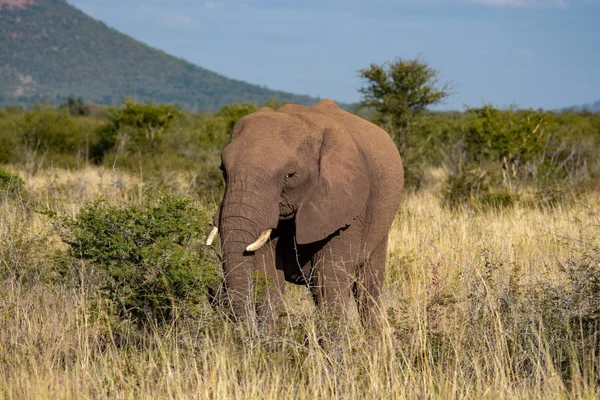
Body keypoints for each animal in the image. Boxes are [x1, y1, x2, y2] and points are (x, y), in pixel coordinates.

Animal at [205, 98, 404, 330]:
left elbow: (329, 279)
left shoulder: (348, 206)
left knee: (367, 289)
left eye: (290, 175)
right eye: (223, 170)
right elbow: (267, 276)